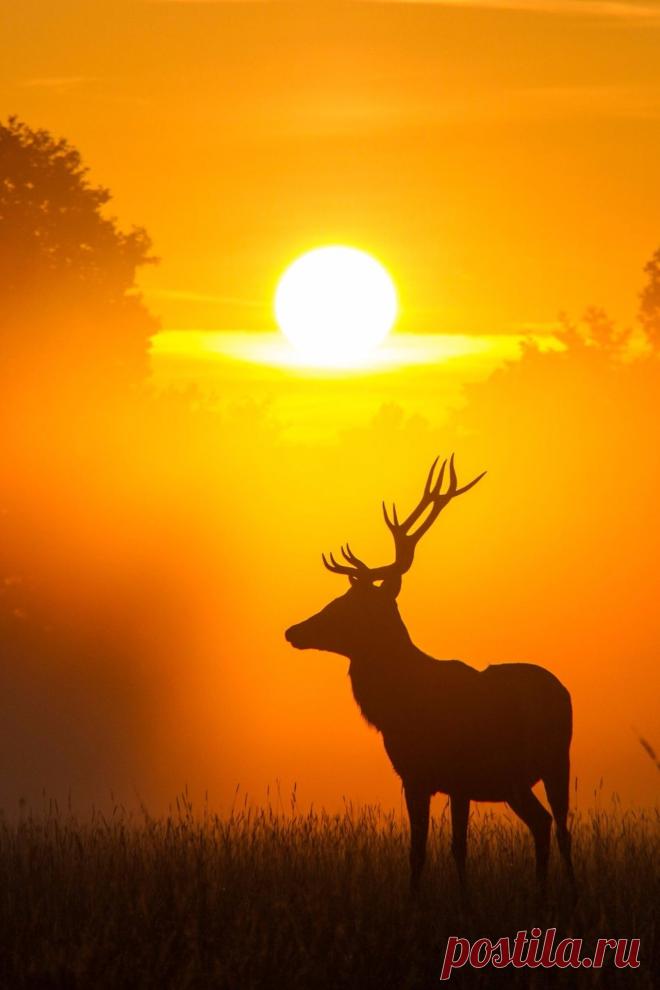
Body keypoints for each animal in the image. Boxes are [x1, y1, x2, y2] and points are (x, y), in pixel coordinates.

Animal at [285, 455, 575, 895]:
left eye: (345, 603)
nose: (293, 631)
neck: (399, 708)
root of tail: (563, 693)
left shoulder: (442, 774)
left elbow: (440, 848)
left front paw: (445, 900)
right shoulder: (427, 777)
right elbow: (432, 849)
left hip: (548, 762)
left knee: (555, 827)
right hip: (530, 774)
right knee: (550, 825)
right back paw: (552, 894)